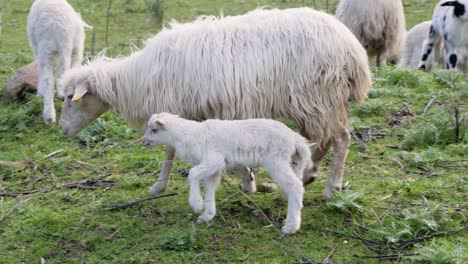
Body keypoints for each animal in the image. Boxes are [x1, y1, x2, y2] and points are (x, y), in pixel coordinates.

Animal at [59, 7, 372, 199]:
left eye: (70, 99)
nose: (61, 130)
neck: (134, 80)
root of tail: (352, 47)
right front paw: (248, 180)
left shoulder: (176, 109)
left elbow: (170, 151)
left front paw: (159, 185)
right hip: (318, 103)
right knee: (328, 138)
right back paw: (309, 173)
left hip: (317, 97)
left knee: (341, 138)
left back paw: (331, 187)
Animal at [141, 112, 312, 234]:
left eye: (154, 130)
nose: (143, 141)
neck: (186, 135)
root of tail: (295, 138)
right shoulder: (213, 168)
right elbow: (209, 187)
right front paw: (207, 215)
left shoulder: (213, 160)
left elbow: (193, 173)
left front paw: (197, 204)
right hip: (292, 161)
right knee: (295, 186)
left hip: (275, 160)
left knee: (295, 186)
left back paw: (291, 227)